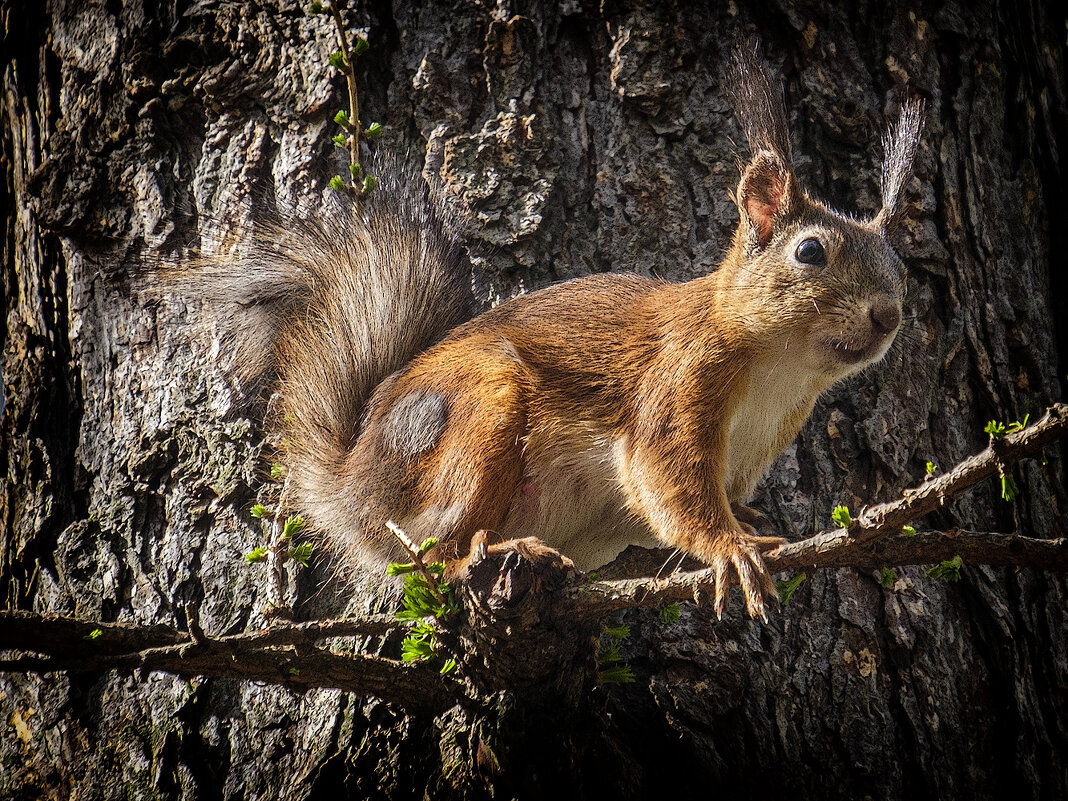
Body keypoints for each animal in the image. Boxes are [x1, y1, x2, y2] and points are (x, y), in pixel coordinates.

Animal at [187, 46, 922, 623]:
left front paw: (751, 527)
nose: (889, 316)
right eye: (810, 252)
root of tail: (353, 491)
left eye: (899, 266)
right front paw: (731, 548)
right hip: (476, 420)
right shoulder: (679, 383)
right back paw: (494, 551)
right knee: (436, 553)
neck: (779, 370)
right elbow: (668, 479)